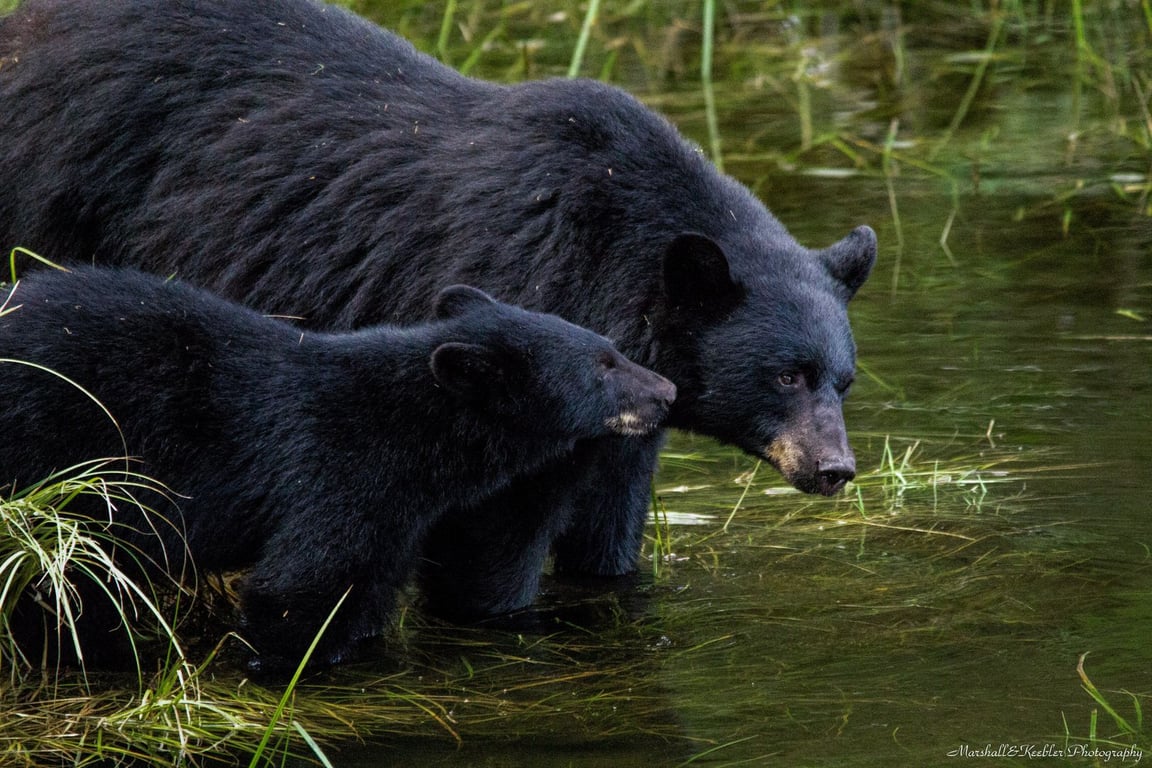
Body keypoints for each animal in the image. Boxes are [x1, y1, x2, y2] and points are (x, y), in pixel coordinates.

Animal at [0, 0, 876, 620]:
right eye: (786, 375)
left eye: (844, 380)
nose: (835, 469)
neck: (610, 266)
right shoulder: (513, 358)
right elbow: (490, 536)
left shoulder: (625, 420)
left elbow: (608, 529)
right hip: (50, 196)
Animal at [0, 266, 676, 668]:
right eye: (605, 365)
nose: (667, 391)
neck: (417, 431)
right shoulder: (340, 466)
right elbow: (303, 584)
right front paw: (291, 666)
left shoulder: (400, 512)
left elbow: (370, 588)